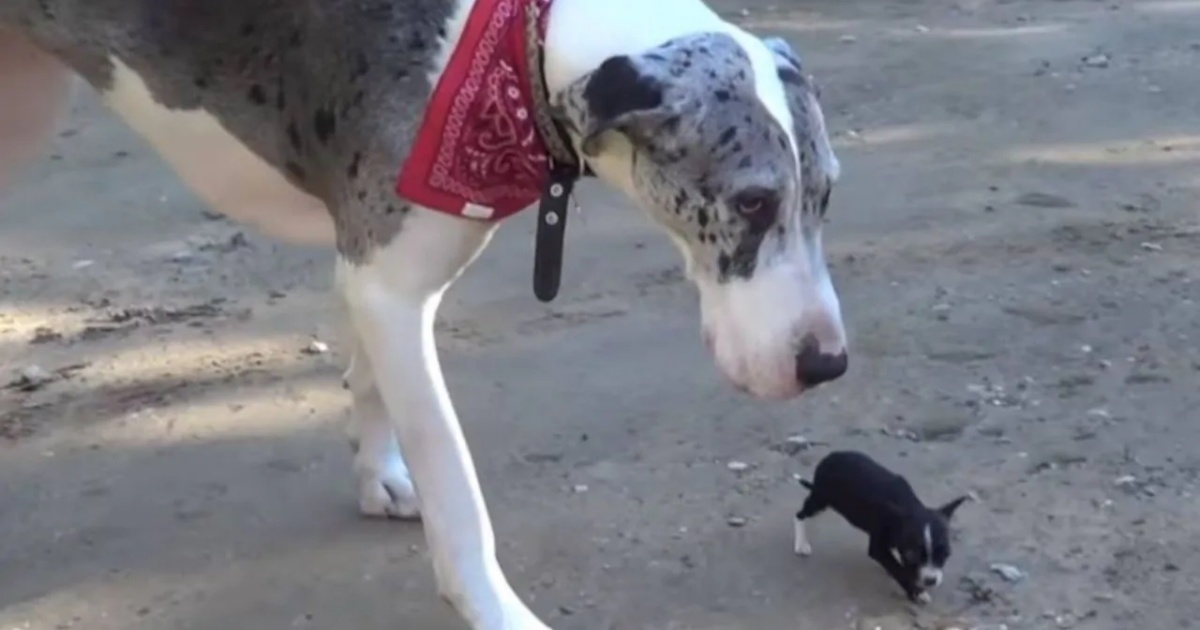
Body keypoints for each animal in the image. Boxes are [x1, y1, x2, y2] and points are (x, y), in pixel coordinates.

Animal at [0, 0, 844, 624]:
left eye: (827, 194)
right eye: (753, 202)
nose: (827, 363)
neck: (511, 51)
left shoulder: (376, 273)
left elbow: (371, 379)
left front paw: (378, 476)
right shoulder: (393, 287)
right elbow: (456, 489)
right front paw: (495, 611)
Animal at [792, 448, 969, 602]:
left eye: (946, 553)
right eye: (912, 555)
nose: (930, 580)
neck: (906, 505)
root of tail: (829, 458)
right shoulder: (878, 548)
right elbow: (897, 569)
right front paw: (916, 592)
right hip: (821, 499)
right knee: (800, 515)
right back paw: (801, 544)